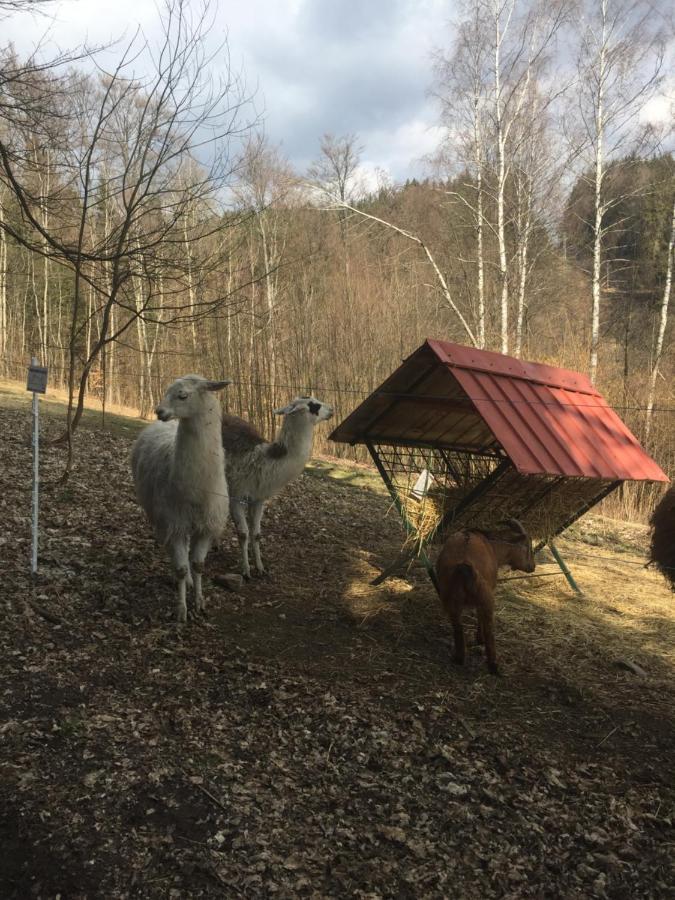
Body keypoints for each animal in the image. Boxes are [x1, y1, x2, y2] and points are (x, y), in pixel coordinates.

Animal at [436, 520, 536, 676]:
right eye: (528, 547)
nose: (533, 566)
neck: (493, 546)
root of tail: (464, 566)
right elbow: (480, 617)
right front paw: (479, 638)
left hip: (449, 600)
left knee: (458, 627)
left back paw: (459, 658)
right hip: (486, 598)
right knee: (489, 629)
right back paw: (493, 665)